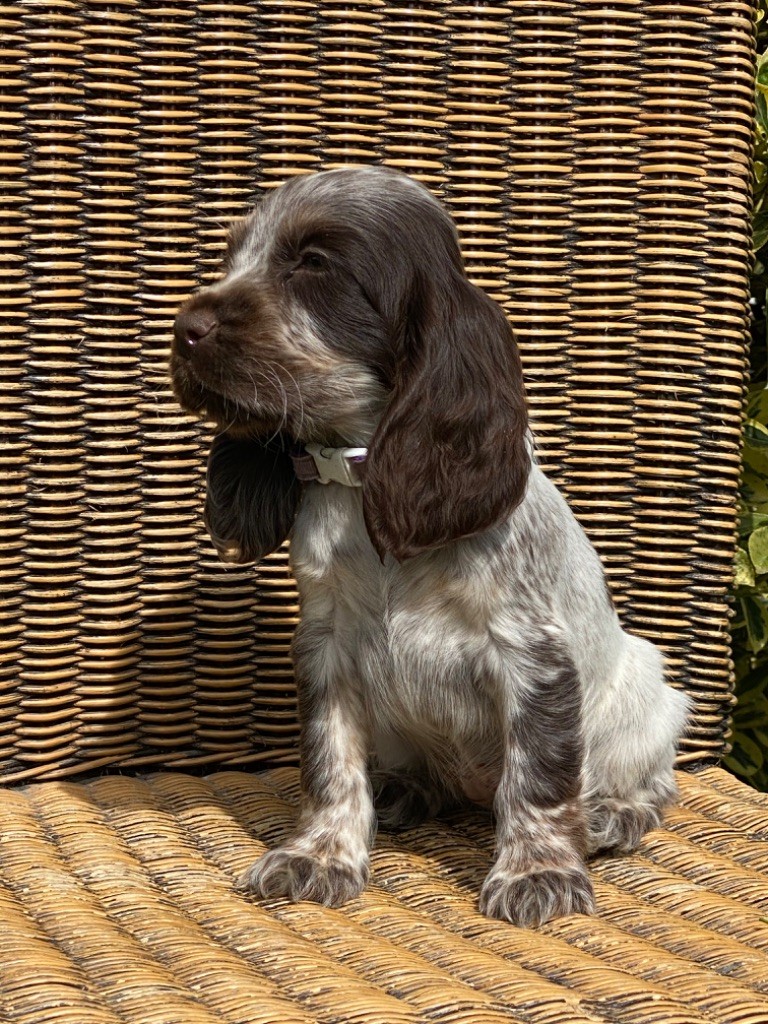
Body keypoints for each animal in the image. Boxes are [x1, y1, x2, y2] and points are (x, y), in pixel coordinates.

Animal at [170, 165, 690, 926]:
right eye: (234, 255)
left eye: (313, 264)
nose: (185, 329)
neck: (361, 472)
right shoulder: (327, 645)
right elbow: (330, 761)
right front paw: (320, 854)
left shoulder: (533, 654)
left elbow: (537, 776)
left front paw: (538, 873)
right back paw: (399, 790)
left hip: (648, 695)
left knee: (647, 780)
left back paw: (611, 814)